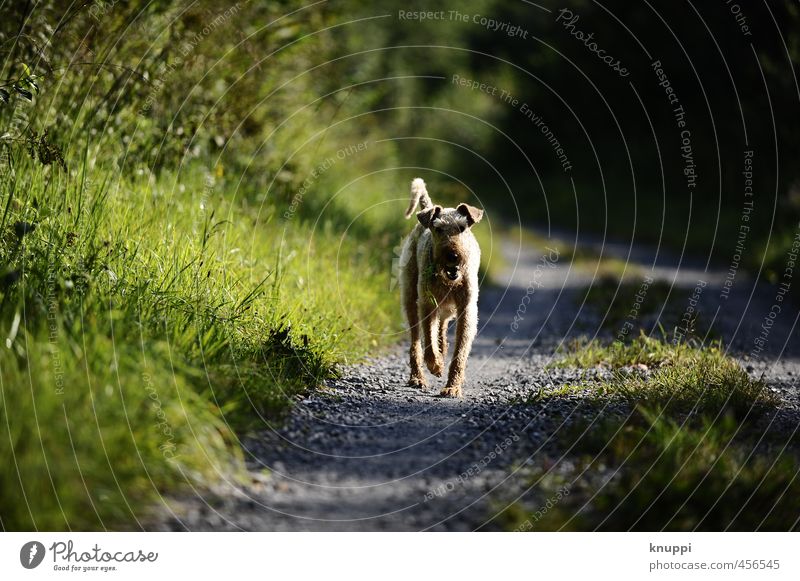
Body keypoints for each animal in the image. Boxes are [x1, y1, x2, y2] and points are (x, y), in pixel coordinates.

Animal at [398, 177, 484, 396]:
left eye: (462, 228)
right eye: (438, 229)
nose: (453, 256)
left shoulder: (466, 309)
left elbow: (460, 352)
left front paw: (452, 387)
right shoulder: (427, 304)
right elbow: (428, 338)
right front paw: (435, 365)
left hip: (446, 308)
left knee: (442, 329)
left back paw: (442, 350)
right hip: (411, 298)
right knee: (416, 342)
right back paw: (418, 377)